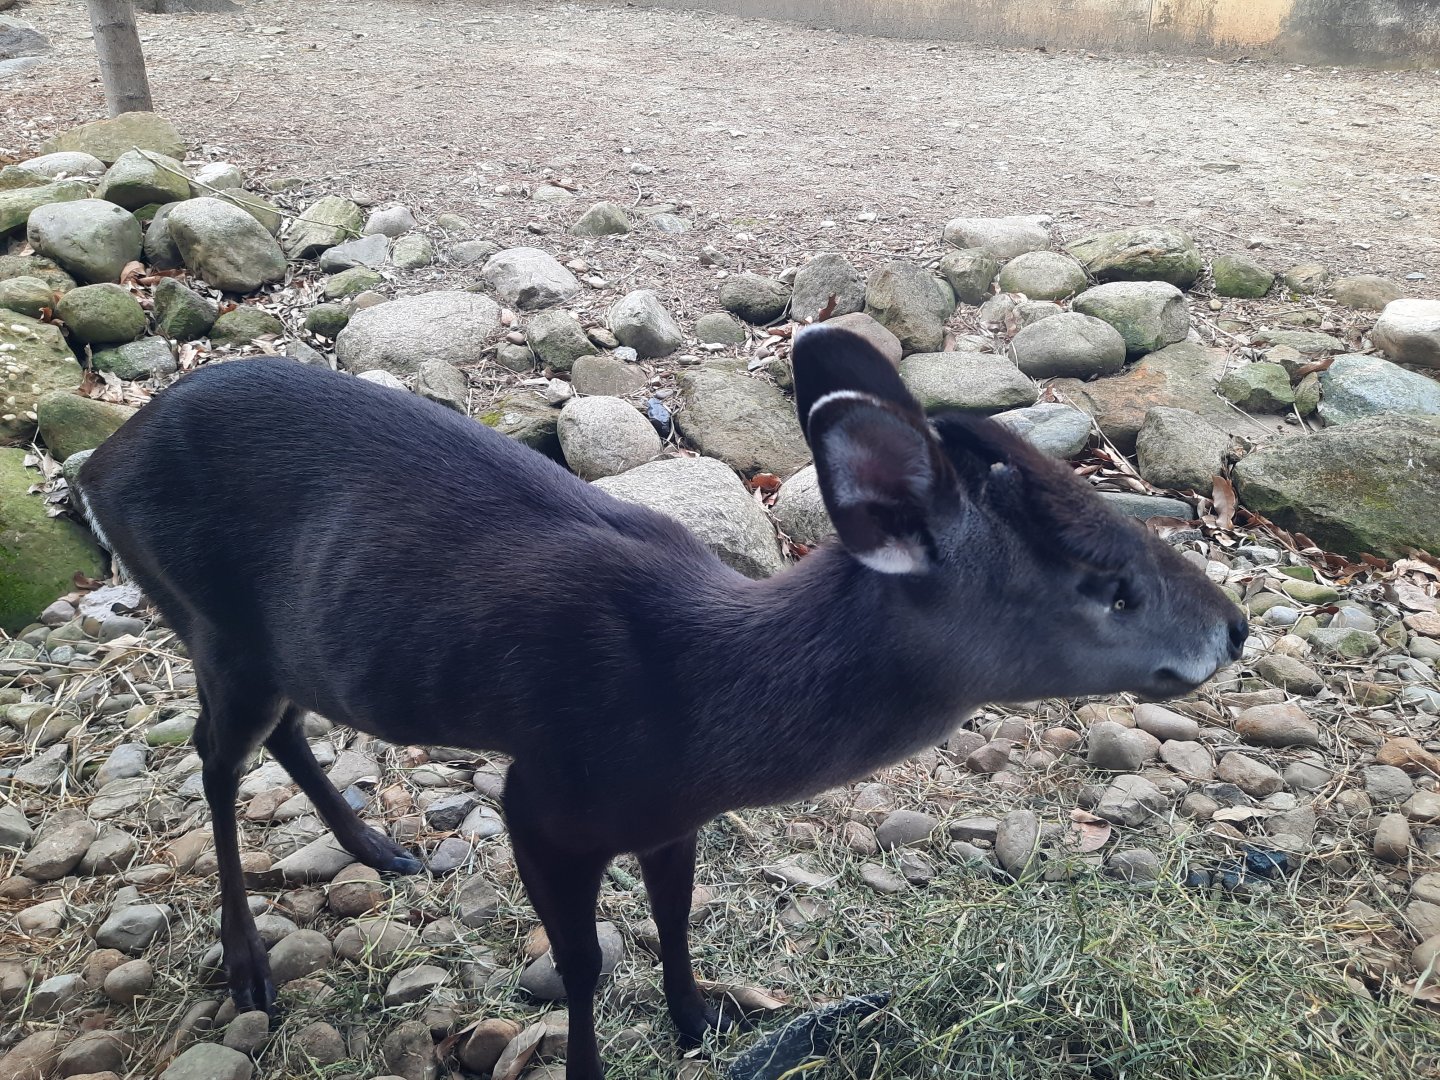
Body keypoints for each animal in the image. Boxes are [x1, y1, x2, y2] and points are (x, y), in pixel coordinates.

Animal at [74, 321, 1246, 1079]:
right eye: (1110, 583)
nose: (1235, 628)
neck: (699, 708)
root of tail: (95, 463)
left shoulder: (674, 814)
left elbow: (677, 922)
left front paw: (701, 1025)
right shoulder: (544, 796)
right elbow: (584, 963)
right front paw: (595, 1068)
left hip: (278, 645)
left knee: (283, 733)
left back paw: (379, 847)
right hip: (212, 619)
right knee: (213, 755)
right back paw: (249, 967)